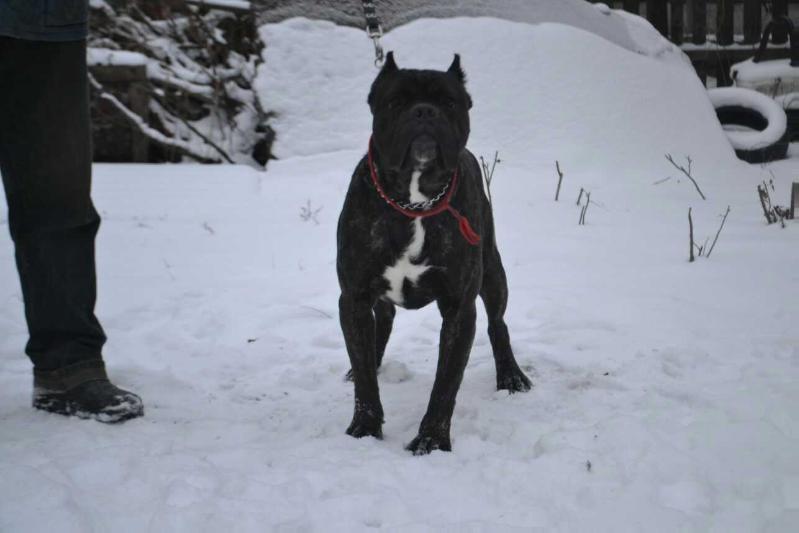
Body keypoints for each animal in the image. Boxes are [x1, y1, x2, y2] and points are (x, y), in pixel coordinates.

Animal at [338, 51, 532, 454]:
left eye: (449, 102)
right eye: (396, 101)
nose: (425, 111)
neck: (413, 202)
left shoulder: (459, 308)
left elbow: (446, 384)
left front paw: (431, 440)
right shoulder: (353, 297)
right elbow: (364, 376)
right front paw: (365, 427)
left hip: (493, 274)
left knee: (498, 324)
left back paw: (511, 376)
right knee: (383, 321)